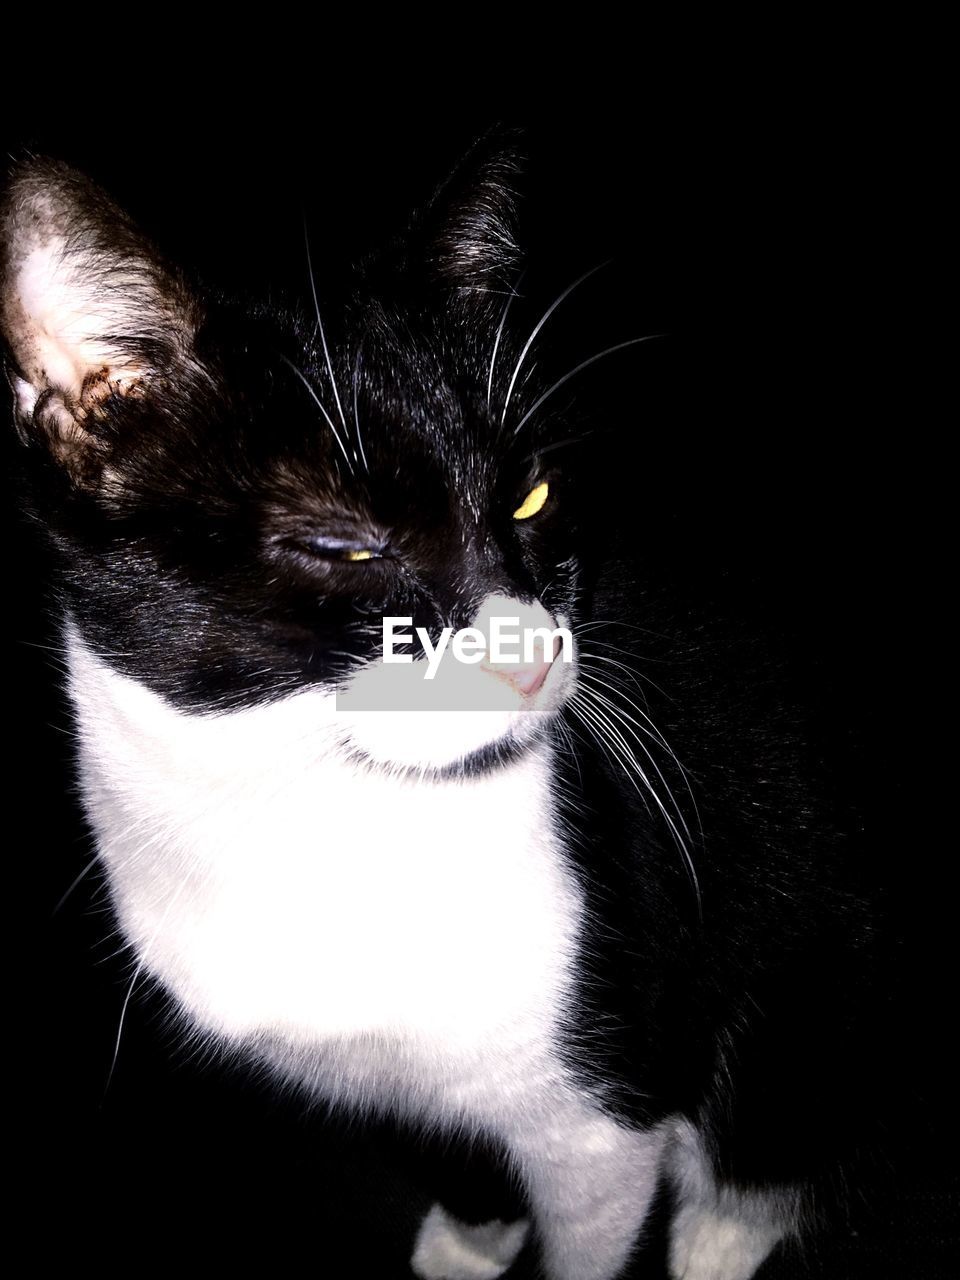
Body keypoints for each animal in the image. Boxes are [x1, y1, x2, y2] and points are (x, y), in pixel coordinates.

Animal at [0, 140, 885, 1280]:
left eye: (531, 497)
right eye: (343, 545)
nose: (536, 652)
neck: (319, 818)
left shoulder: (603, 1119)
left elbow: (590, 1240)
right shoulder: (382, 1080)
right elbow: (455, 1151)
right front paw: (467, 1242)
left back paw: (719, 1236)